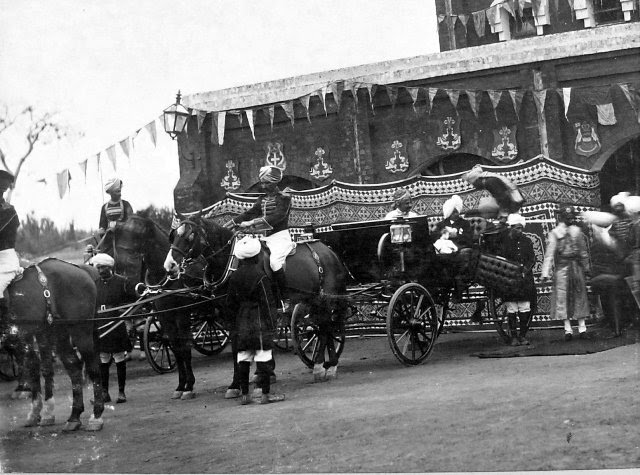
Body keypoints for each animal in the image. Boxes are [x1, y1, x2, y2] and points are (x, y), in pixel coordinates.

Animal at [6, 258, 105, 434]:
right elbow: (36, 368)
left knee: (93, 367)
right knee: (73, 367)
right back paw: (74, 417)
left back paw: (96, 416)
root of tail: (81, 268)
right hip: (58, 332)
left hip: (80, 330)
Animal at [162, 216, 348, 384]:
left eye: (190, 236)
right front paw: (249, 378)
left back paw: (320, 366)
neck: (234, 263)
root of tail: (328, 251)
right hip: (314, 300)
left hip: (324, 300)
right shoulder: (228, 313)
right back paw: (330, 364)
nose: (170, 265)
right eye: (173, 235)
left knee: (325, 328)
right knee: (325, 327)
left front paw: (247, 379)